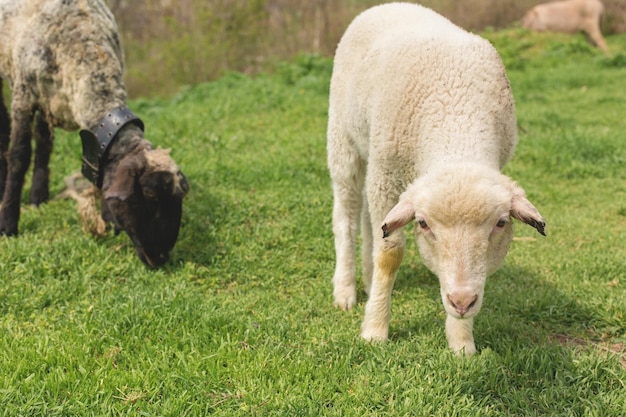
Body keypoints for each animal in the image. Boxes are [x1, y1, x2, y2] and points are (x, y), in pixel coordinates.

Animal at [0, 0, 188, 266]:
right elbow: (18, 157)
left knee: (44, 139)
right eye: (150, 195)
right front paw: (8, 224)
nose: (161, 257)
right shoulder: (23, 96)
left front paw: (107, 219)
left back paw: (39, 196)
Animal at [326, 3, 544, 354]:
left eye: (500, 223)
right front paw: (375, 330)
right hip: (344, 140)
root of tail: (391, 5)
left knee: (368, 221)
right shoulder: (386, 176)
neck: (455, 114)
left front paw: (462, 342)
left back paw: (369, 280)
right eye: (424, 224)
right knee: (346, 216)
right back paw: (346, 291)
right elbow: (389, 253)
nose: (462, 301)